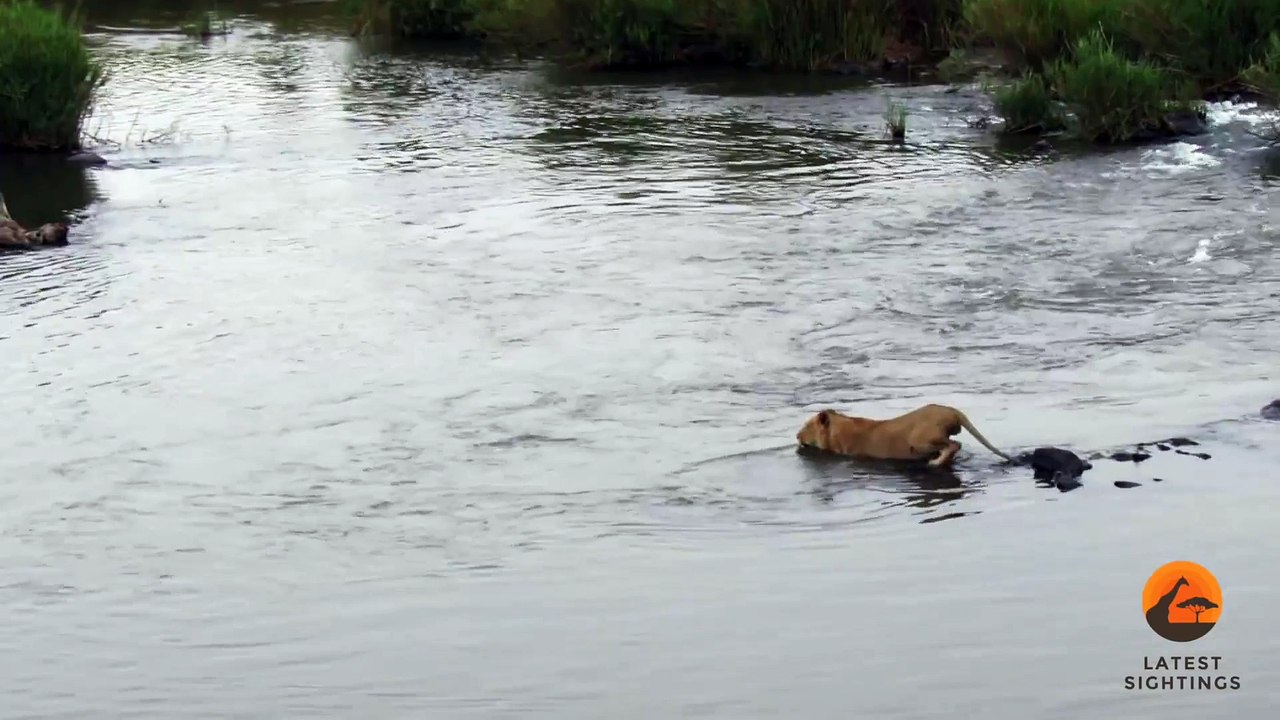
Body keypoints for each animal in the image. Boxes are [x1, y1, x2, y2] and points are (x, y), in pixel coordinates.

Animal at [795, 403, 1012, 468]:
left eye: (806, 426)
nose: (797, 436)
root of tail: (952, 410)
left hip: (919, 440)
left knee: (954, 445)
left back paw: (935, 462)